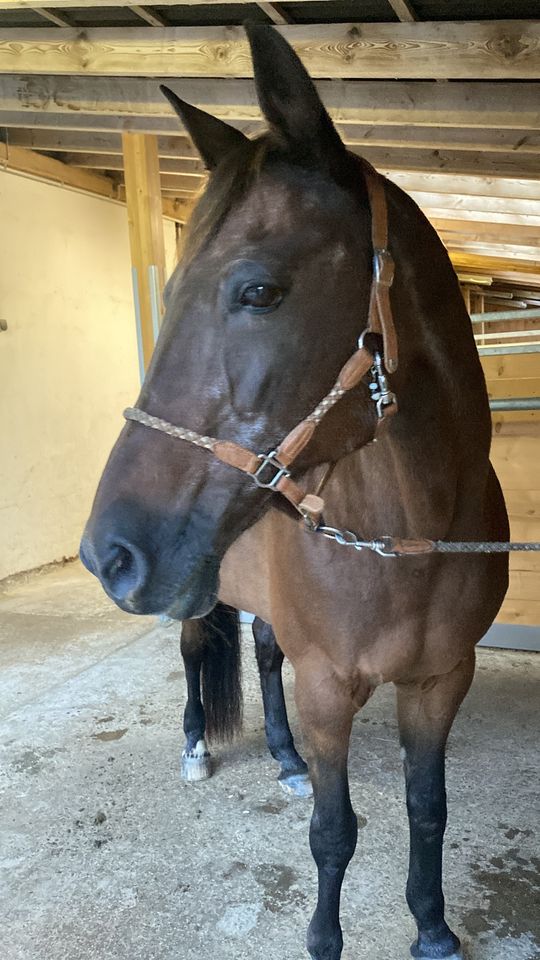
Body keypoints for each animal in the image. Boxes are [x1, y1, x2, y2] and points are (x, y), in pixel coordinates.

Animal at [79, 26, 506, 960]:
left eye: (260, 290)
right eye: (169, 294)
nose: (106, 556)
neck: (409, 538)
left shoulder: (440, 682)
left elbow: (429, 809)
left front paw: (432, 929)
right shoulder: (328, 689)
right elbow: (334, 833)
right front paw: (323, 940)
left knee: (265, 654)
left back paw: (280, 757)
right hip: (200, 599)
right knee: (195, 654)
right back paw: (198, 749)